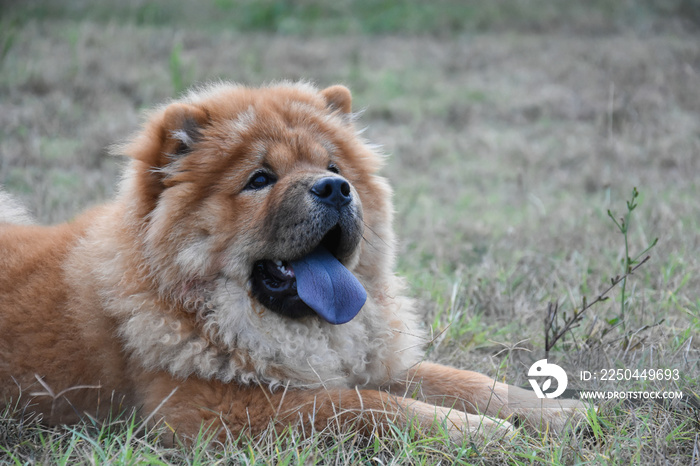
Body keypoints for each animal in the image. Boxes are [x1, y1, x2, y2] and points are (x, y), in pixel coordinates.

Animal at [0, 82, 584, 446]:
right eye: (260, 180)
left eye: (334, 167)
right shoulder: (213, 411)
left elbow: (463, 380)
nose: (334, 189)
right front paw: (478, 432)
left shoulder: (369, 364)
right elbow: (363, 406)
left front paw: (557, 411)